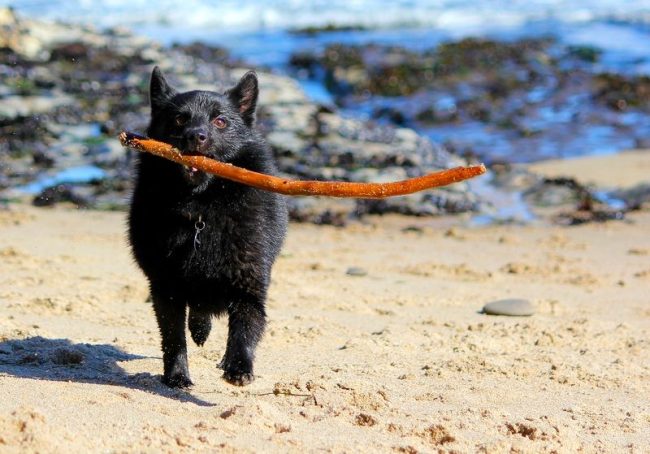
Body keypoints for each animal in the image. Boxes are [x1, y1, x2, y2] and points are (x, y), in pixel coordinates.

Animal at [126, 67, 286, 386]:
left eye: (220, 121)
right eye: (179, 119)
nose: (195, 136)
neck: (202, 208)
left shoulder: (250, 283)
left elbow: (246, 325)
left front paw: (239, 366)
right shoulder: (165, 288)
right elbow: (173, 338)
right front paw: (177, 376)